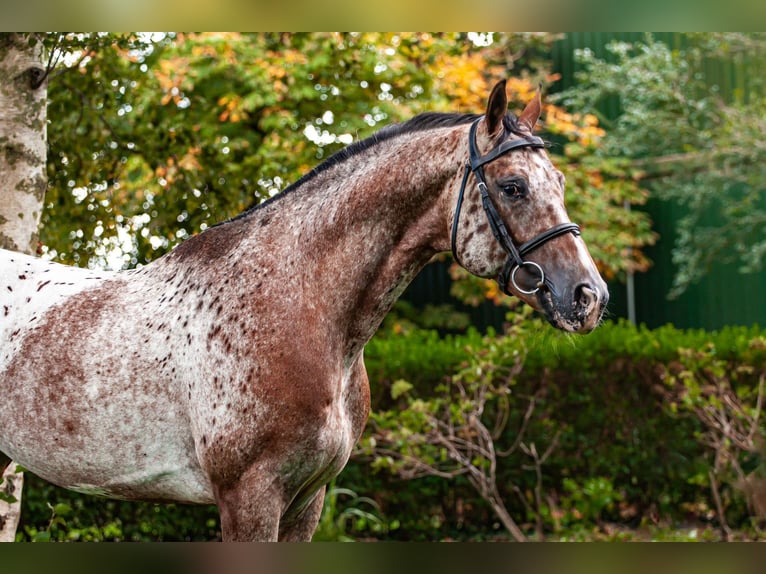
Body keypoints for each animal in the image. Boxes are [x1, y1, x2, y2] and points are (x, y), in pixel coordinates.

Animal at [1, 81, 612, 544]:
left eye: (558, 182)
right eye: (512, 187)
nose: (589, 297)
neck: (301, 307)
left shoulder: (307, 500)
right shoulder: (249, 499)